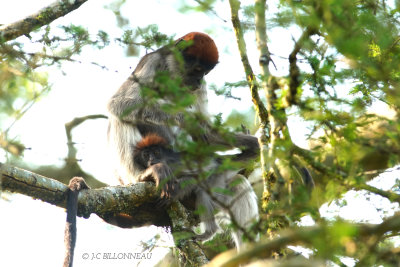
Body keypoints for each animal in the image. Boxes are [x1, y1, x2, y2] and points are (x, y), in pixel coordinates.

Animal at [107, 31, 260, 191]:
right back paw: (140, 176)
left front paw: (252, 143)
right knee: (120, 117)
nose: (199, 81)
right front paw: (190, 122)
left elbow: (207, 133)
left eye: (206, 72)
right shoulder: (152, 62)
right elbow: (118, 102)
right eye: (197, 69)